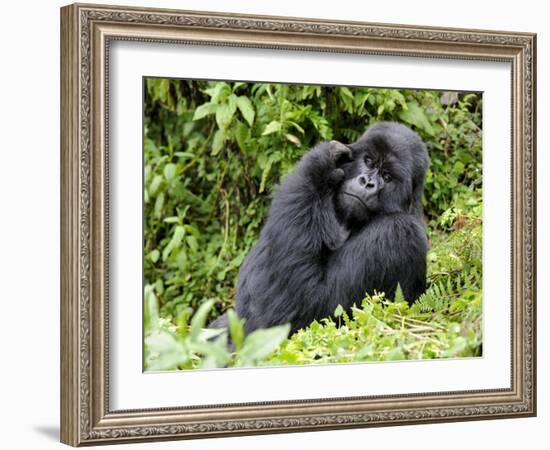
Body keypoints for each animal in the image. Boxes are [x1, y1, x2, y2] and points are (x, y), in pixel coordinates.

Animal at [211, 121, 432, 336]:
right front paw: (325, 164)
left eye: (387, 177)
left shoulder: (399, 231)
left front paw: (318, 165)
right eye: (369, 161)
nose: (367, 182)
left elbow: (313, 305)